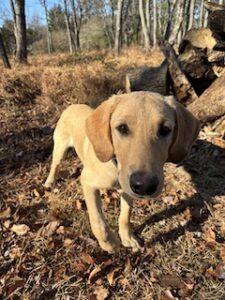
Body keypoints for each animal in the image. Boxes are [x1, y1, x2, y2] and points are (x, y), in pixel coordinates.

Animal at [44, 91, 200, 253]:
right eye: (122, 128)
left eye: (165, 130)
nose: (145, 186)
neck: (116, 166)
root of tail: (73, 105)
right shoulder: (87, 182)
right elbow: (97, 220)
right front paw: (109, 243)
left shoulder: (127, 191)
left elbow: (125, 216)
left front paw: (127, 237)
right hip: (60, 147)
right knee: (54, 165)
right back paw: (49, 182)